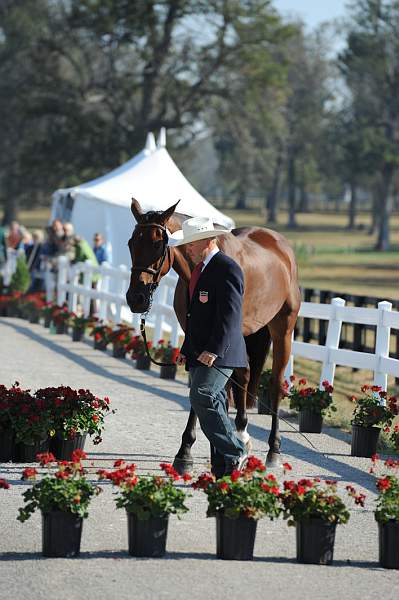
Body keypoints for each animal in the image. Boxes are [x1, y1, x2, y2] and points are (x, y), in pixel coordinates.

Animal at [126, 199, 300, 472]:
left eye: (157, 244)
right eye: (131, 243)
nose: (136, 299)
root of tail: (280, 245)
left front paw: (189, 452)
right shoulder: (195, 336)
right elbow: (204, 387)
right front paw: (203, 450)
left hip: (282, 329)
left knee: (274, 384)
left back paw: (273, 450)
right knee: (244, 376)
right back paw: (241, 434)